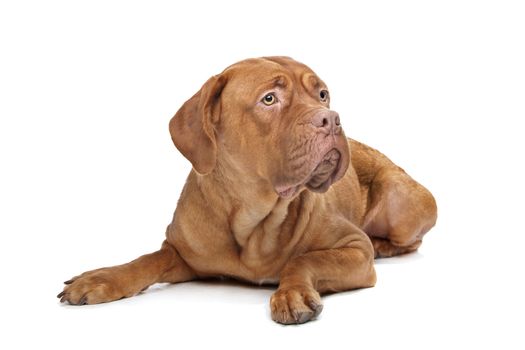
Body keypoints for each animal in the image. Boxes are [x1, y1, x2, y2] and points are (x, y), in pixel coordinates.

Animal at [57, 56, 436, 326]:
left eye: (322, 94)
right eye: (269, 99)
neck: (255, 218)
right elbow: (148, 259)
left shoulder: (355, 249)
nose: (330, 119)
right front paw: (103, 278)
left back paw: (384, 245)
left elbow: (304, 258)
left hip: (402, 198)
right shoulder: (182, 253)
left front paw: (292, 294)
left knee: (409, 239)